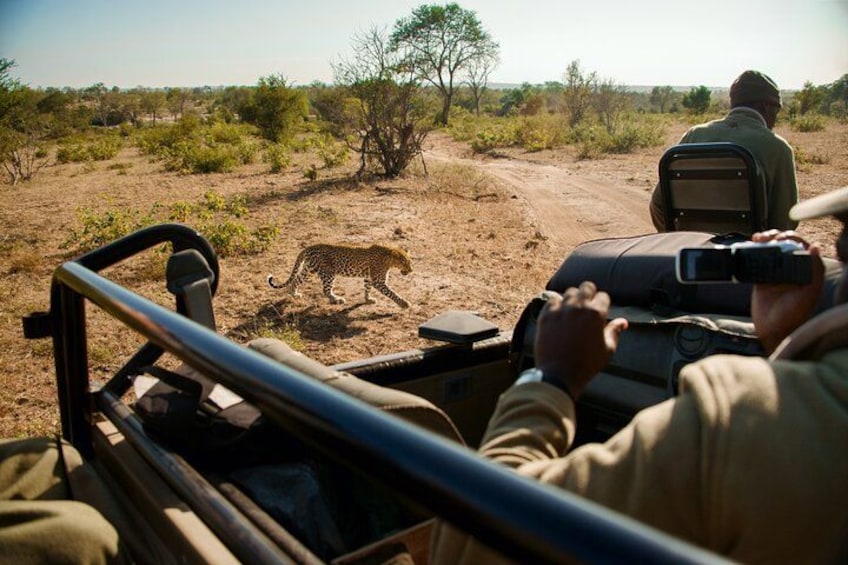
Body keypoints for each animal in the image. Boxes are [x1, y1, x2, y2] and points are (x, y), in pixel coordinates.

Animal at [268, 243, 412, 308]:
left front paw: (367, 299)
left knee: (296, 280)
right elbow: (392, 293)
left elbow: (367, 288)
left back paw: (294, 294)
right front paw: (404, 303)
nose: (411, 271)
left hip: (309, 269)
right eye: (405, 263)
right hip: (328, 273)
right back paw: (336, 299)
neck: (389, 258)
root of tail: (309, 247)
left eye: (410, 262)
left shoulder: (369, 277)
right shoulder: (378, 281)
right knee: (325, 290)